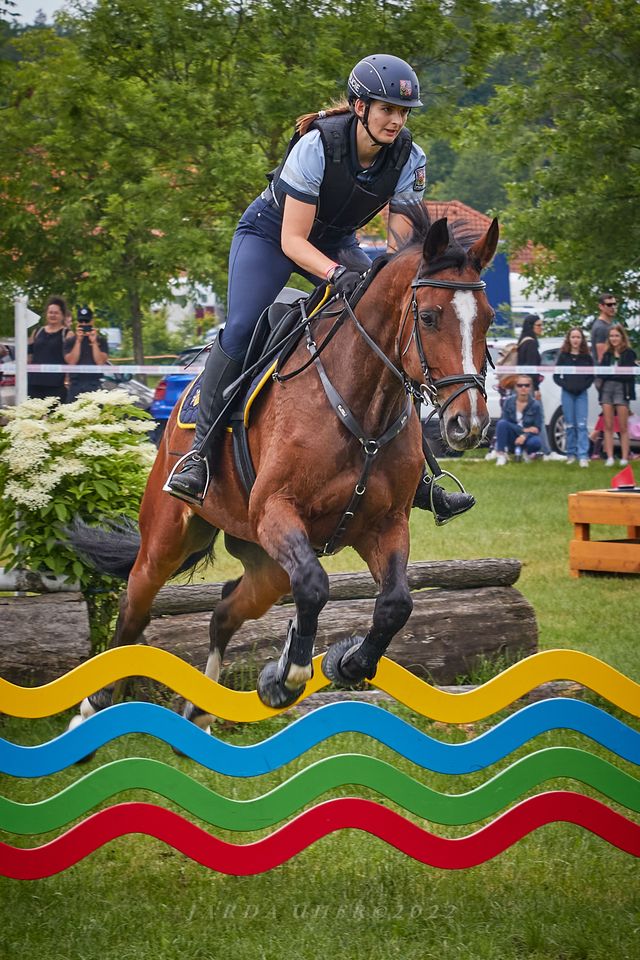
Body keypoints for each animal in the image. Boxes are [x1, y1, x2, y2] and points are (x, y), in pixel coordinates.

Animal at [71, 210, 500, 728]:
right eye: (430, 316)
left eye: (489, 319)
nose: (469, 424)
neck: (363, 404)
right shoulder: (276, 510)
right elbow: (315, 587)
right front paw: (289, 675)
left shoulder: (384, 524)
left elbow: (396, 604)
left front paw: (347, 663)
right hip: (169, 537)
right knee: (135, 607)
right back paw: (91, 707)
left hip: (266, 564)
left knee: (225, 610)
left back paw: (200, 708)